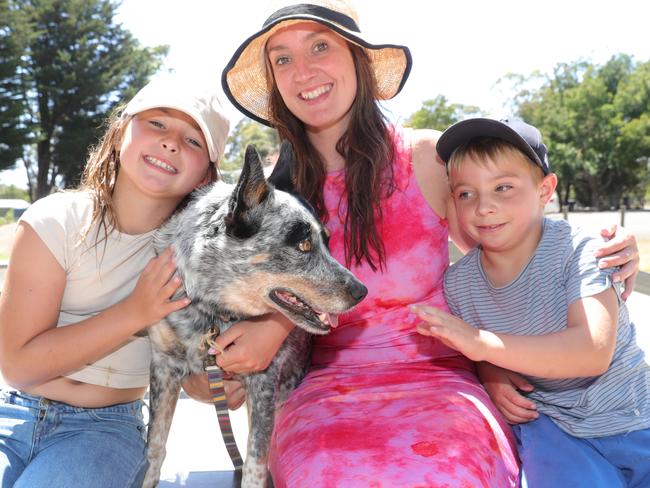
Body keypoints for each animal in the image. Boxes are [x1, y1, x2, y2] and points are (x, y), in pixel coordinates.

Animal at [141, 143, 364, 486]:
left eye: (327, 242)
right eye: (303, 244)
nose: (362, 291)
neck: (214, 310)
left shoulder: (263, 381)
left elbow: (255, 463)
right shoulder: (163, 367)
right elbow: (154, 449)